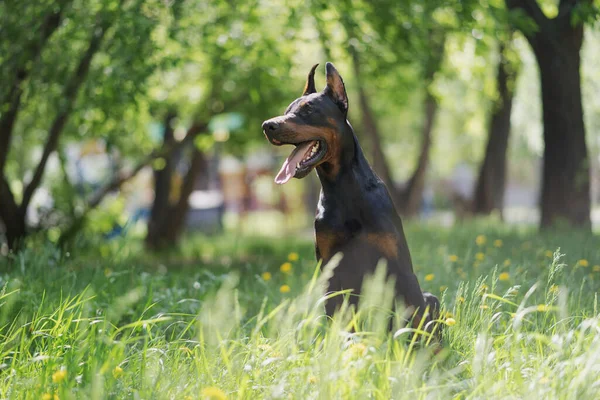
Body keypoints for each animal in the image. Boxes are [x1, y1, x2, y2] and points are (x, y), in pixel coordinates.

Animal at [262, 62, 440, 336]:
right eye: (287, 110)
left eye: (309, 109)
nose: (267, 125)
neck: (343, 189)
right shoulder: (331, 271)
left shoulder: (399, 267)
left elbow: (414, 318)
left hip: (430, 297)